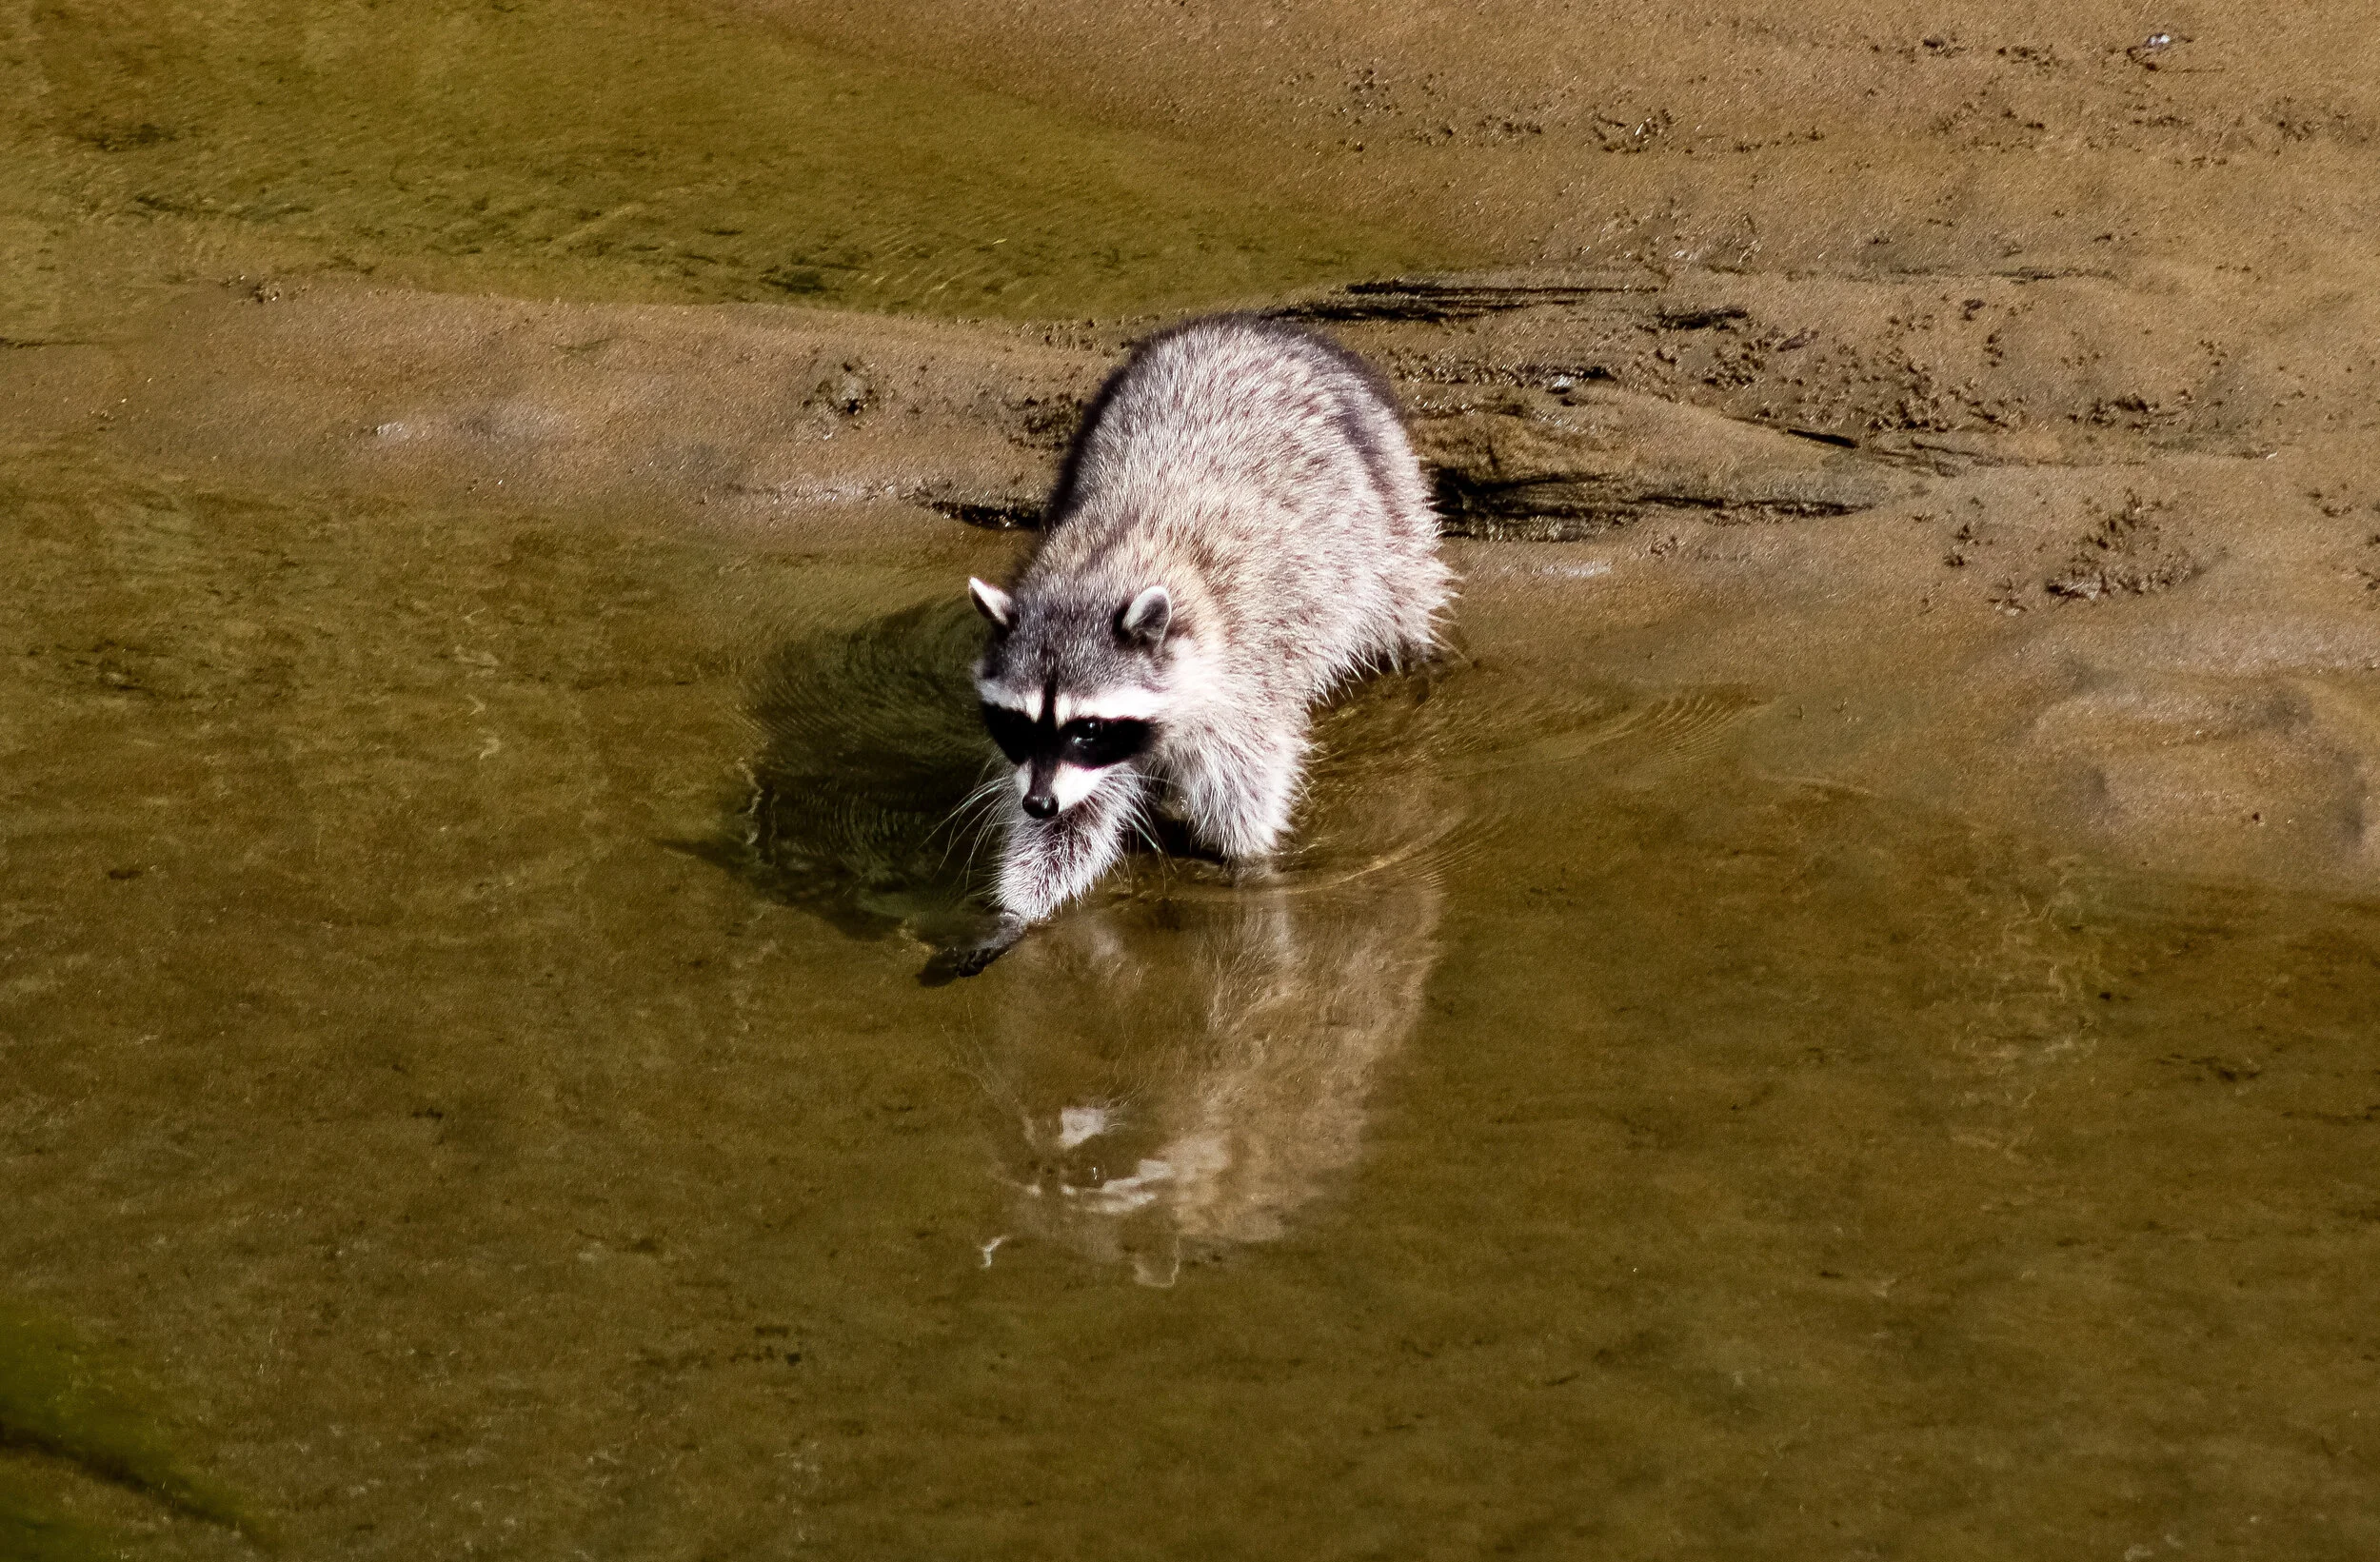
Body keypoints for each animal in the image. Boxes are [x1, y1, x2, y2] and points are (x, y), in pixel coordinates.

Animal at [963, 314, 1449, 947]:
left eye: (1088, 728)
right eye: (1018, 725)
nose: (1039, 804)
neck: (1098, 570)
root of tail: (1252, 326)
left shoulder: (1242, 673)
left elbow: (1248, 775)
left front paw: (1249, 859)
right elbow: (1078, 819)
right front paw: (1020, 907)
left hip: (1387, 494)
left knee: (1402, 589)